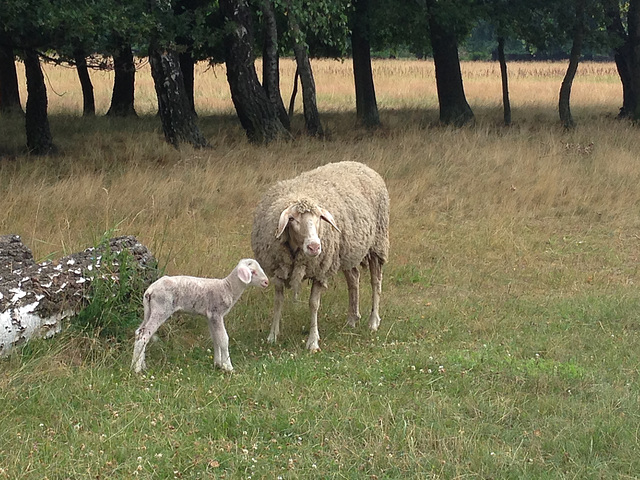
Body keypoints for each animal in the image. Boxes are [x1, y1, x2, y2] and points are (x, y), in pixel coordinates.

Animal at [131, 260, 268, 374]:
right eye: (253, 272)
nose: (266, 282)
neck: (228, 287)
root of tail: (150, 290)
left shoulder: (210, 317)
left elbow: (215, 338)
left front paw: (218, 364)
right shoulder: (216, 314)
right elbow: (224, 339)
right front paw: (229, 367)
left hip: (149, 310)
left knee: (139, 332)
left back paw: (138, 364)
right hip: (161, 309)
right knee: (144, 336)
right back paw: (137, 369)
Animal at [250, 159, 390, 350]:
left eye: (319, 218)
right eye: (292, 219)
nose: (314, 247)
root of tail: (360, 164)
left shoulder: (320, 271)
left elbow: (313, 304)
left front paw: (313, 341)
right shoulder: (278, 269)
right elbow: (278, 301)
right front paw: (272, 335)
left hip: (377, 243)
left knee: (376, 282)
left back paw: (373, 321)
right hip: (348, 250)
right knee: (353, 279)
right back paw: (352, 318)